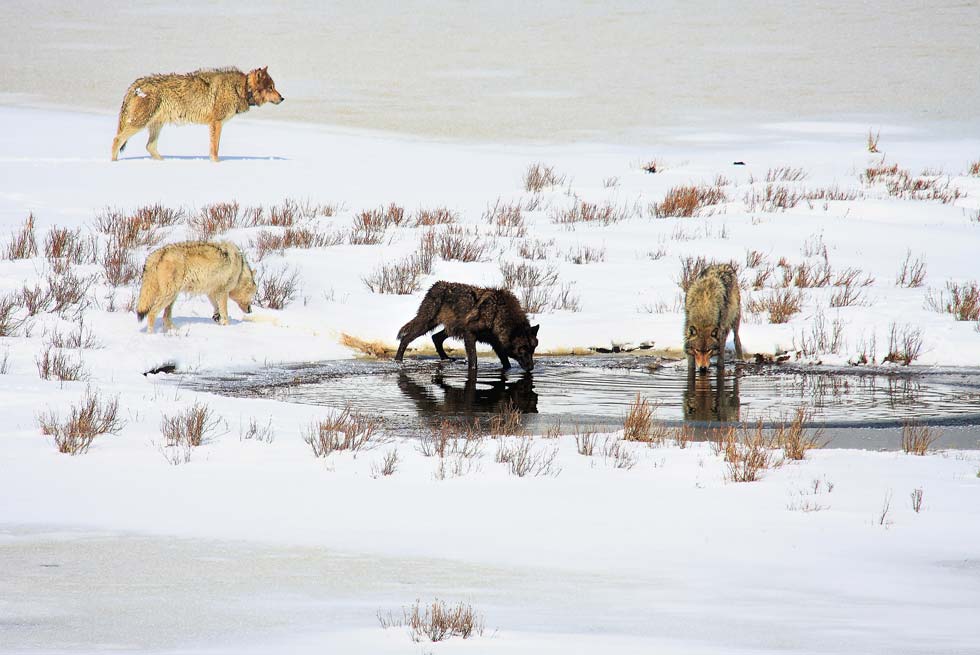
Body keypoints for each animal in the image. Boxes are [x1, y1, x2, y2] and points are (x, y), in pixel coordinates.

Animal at [111, 67, 284, 162]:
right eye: (270, 87)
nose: (282, 98)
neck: (241, 88)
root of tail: (136, 84)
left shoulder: (216, 124)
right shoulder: (216, 123)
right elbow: (215, 149)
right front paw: (217, 164)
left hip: (156, 125)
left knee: (149, 146)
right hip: (140, 123)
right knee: (117, 139)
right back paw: (113, 163)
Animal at [394, 281, 540, 371]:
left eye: (532, 349)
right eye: (522, 349)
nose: (531, 368)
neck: (497, 314)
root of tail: (435, 285)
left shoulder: (496, 343)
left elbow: (507, 364)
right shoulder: (469, 333)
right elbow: (473, 361)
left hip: (451, 329)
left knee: (436, 337)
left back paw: (446, 358)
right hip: (426, 324)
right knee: (406, 338)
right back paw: (398, 361)